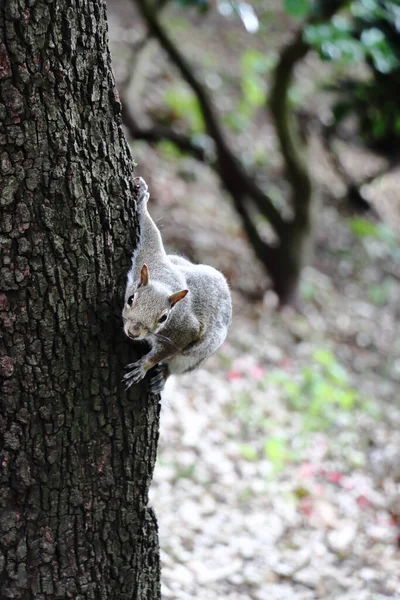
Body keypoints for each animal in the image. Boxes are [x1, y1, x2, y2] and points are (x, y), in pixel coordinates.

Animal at [123, 177, 233, 394]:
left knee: (173, 367)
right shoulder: (149, 257)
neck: (165, 282)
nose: (133, 332)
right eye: (131, 299)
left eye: (164, 318)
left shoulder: (184, 330)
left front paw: (144, 366)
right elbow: (151, 232)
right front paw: (142, 197)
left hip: (193, 358)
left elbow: (164, 352)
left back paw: (162, 377)